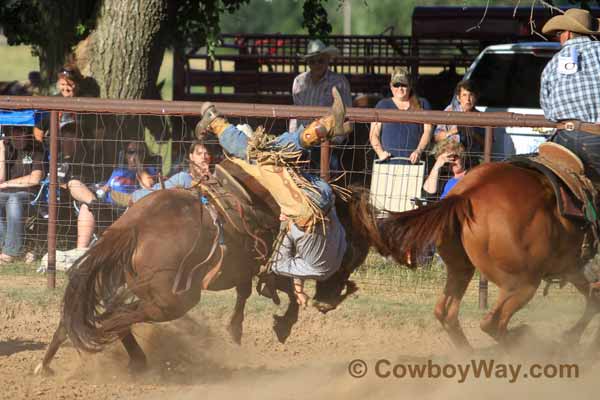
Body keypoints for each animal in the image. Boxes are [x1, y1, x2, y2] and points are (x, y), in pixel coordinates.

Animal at [35, 184, 368, 376]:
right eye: (354, 249)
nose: (331, 298)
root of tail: (135, 225)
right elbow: (280, 288)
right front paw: (281, 323)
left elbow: (248, 291)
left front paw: (239, 326)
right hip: (172, 301)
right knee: (110, 320)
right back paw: (133, 358)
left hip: (144, 289)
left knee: (98, 315)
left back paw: (48, 364)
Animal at [350, 161, 596, 352]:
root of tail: (466, 194)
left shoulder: (572, 266)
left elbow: (594, 294)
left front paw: (573, 336)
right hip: (523, 282)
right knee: (492, 322)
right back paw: (524, 341)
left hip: (461, 268)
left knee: (446, 312)